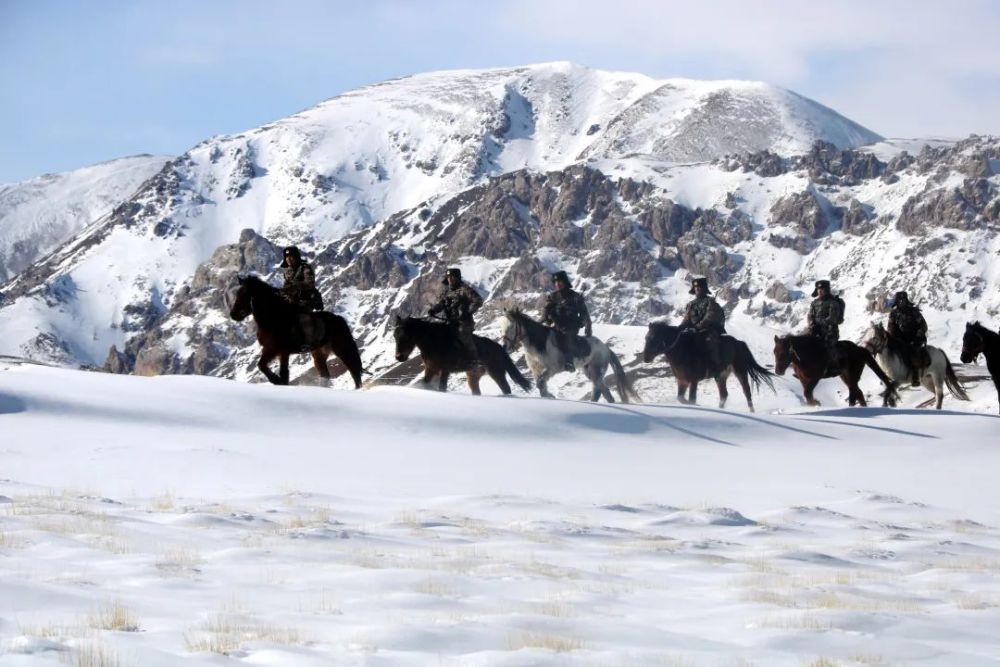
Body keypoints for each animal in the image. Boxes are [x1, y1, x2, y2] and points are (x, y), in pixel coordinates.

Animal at [227, 276, 364, 388]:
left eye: (244, 293)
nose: (233, 315)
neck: (273, 319)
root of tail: (339, 319)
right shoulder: (277, 351)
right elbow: (278, 371)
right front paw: (279, 382)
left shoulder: (275, 350)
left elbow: (264, 366)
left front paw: (275, 380)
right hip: (319, 354)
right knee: (326, 374)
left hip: (342, 349)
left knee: (354, 372)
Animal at [390, 314, 532, 394]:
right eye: (395, 335)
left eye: (406, 335)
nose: (399, 357)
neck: (434, 341)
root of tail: (499, 348)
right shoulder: (431, 369)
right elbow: (426, 383)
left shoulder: (444, 370)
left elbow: (442, 387)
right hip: (473, 375)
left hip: (496, 372)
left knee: (506, 388)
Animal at [500, 308, 640, 402]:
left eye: (511, 327)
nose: (505, 346)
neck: (540, 343)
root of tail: (606, 348)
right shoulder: (536, 370)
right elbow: (541, 385)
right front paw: (547, 396)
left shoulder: (553, 368)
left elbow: (540, 383)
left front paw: (550, 396)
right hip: (589, 372)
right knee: (605, 393)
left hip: (596, 371)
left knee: (598, 391)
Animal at [644, 324, 776, 412]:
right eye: (646, 338)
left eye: (655, 338)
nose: (646, 358)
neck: (682, 350)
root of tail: (739, 343)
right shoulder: (682, 381)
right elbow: (681, 398)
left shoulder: (693, 380)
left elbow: (692, 399)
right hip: (721, 376)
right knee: (724, 395)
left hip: (740, 371)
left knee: (747, 392)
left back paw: (752, 411)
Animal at [772, 334, 900, 408]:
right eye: (774, 352)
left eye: (783, 352)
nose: (778, 371)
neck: (808, 354)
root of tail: (860, 349)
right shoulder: (803, 379)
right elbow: (807, 394)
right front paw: (813, 404)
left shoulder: (815, 378)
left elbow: (807, 393)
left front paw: (816, 403)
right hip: (845, 376)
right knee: (858, 393)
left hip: (852, 376)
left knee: (855, 392)